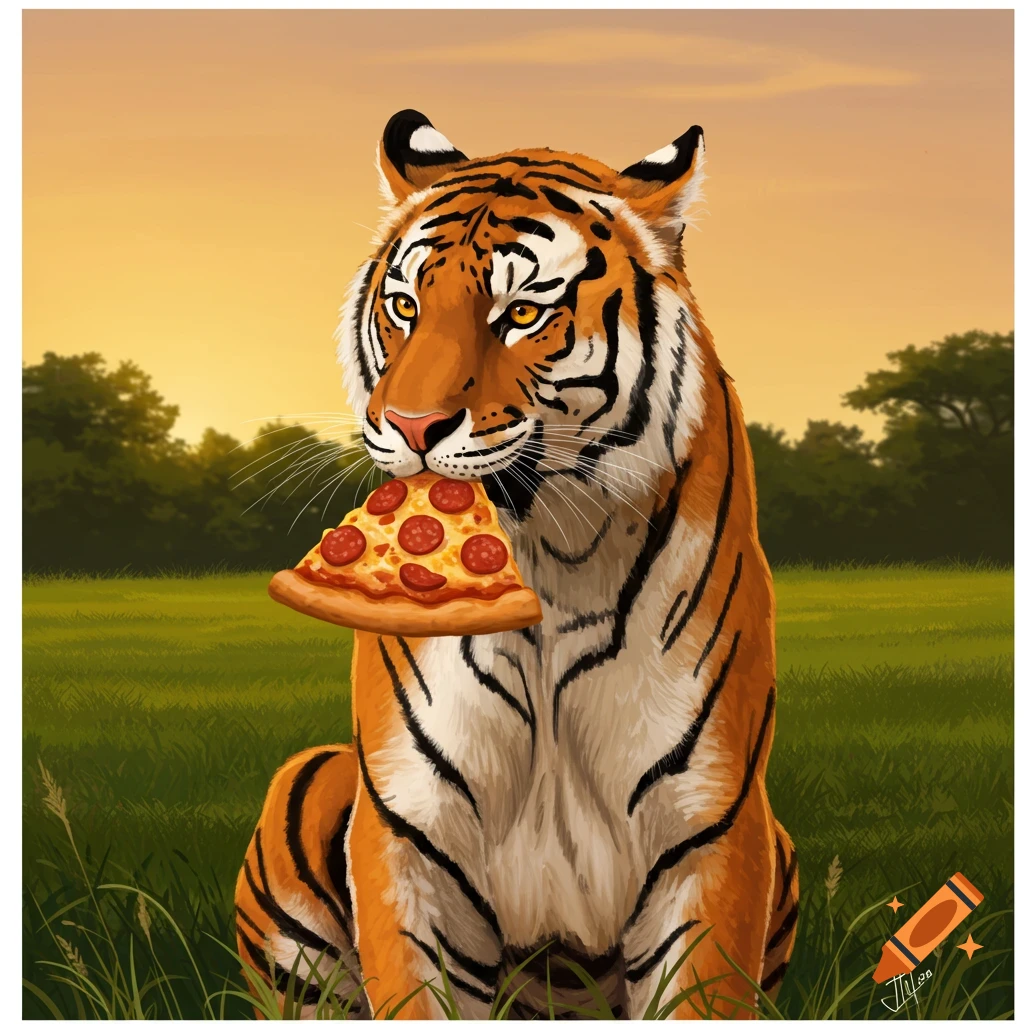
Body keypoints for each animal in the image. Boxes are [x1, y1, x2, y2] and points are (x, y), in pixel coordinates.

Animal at [234, 109, 799, 1020]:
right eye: (404, 306)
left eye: (522, 313)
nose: (411, 424)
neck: (547, 554)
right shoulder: (411, 832)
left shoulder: (709, 827)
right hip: (308, 787)